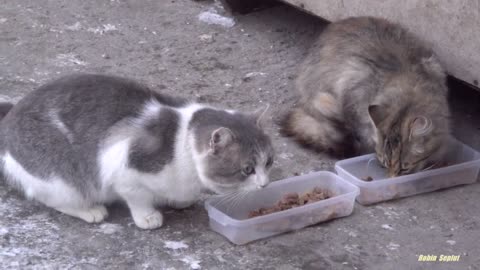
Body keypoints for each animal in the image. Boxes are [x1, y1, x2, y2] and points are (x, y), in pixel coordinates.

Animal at [0, 73, 274, 228]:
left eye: (269, 162)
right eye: (247, 169)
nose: (265, 185)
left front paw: (177, 200)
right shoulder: (122, 164)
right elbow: (137, 197)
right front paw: (148, 217)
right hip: (60, 178)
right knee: (53, 198)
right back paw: (90, 210)